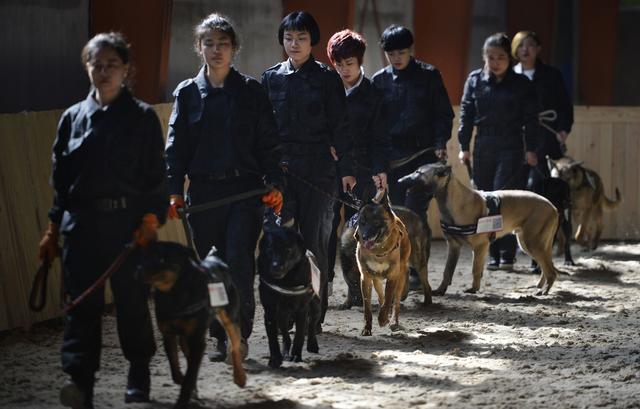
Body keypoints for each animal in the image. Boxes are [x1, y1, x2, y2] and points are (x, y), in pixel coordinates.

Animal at [137, 241, 245, 406]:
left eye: (161, 258)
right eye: (144, 256)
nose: (138, 270)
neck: (174, 293)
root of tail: (215, 260)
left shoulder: (197, 341)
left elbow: (190, 375)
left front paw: (183, 398)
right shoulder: (168, 335)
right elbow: (176, 369)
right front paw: (186, 384)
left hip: (230, 318)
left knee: (235, 347)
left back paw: (240, 377)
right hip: (185, 338)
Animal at [258, 225, 322, 368]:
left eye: (288, 250)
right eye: (269, 249)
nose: (276, 267)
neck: (285, 281)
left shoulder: (302, 310)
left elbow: (299, 335)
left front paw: (296, 356)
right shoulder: (270, 311)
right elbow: (272, 337)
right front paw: (275, 359)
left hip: (315, 306)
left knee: (311, 324)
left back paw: (312, 345)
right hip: (282, 316)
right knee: (286, 335)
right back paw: (285, 353)